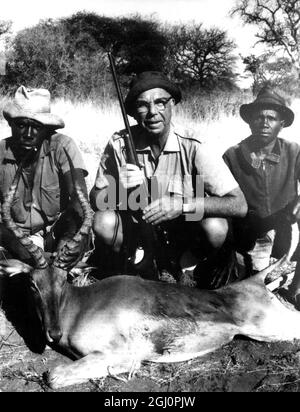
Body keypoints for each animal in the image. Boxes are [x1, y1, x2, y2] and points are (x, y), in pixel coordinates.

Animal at [0, 162, 300, 390]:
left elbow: (51, 376)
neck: (80, 307)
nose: (53, 333)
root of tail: (254, 281)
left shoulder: (121, 356)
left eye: (64, 281)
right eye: (33, 284)